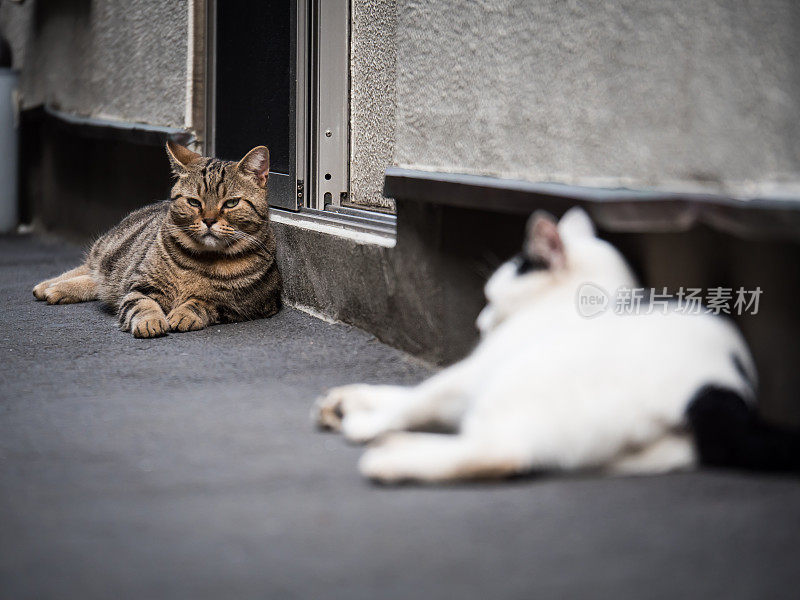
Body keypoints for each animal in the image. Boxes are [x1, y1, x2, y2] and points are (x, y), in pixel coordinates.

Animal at [32, 141, 282, 338]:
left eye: (231, 203)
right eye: (194, 202)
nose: (209, 220)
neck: (202, 259)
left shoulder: (244, 306)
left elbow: (203, 302)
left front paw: (183, 313)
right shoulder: (141, 284)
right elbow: (142, 304)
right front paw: (150, 321)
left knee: (96, 283)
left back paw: (56, 289)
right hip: (111, 254)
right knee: (90, 270)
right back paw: (48, 286)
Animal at [312, 207, 756, 482]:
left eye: (491, 298)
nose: (480, 323)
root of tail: (714, 389)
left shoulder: (473, 373)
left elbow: (418, 397)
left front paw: (367, 421)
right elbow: (402, 392)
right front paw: (349, 399)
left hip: (520, 380)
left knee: (501, 452)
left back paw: (389, 456)